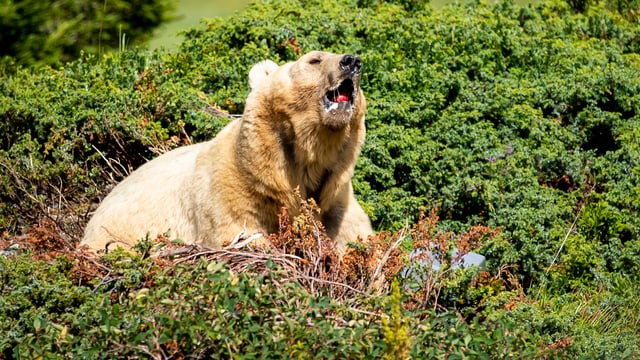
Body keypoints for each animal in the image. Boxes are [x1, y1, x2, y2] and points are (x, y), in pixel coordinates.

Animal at [80, 50, 372, 255]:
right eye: (314, 60)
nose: (352, 61)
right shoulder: (235, 188)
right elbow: (239, 233)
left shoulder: (336, 197)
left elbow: (352, 234)